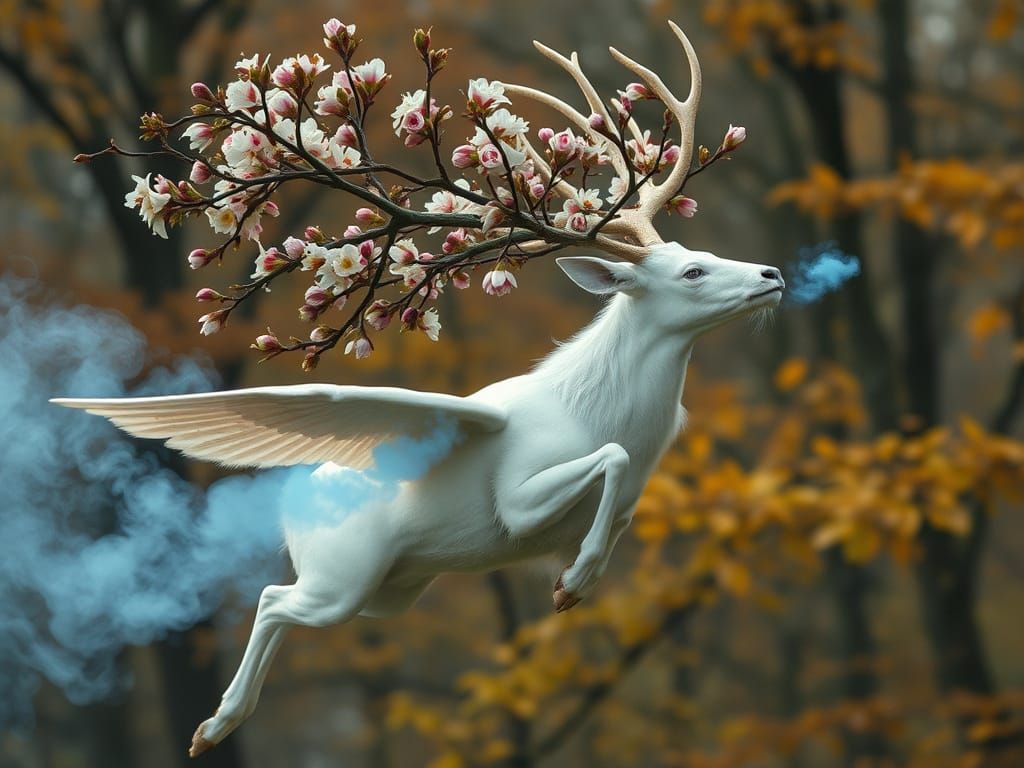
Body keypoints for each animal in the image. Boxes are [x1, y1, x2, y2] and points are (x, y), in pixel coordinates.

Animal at [52, 21, 784, 756]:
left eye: (703, 256)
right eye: (693, 272)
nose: (772, 274)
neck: (600, 409)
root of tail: (289, 508)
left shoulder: (627, 504)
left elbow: (615, 493)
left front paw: (573, 581)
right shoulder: (519, 498)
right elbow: (608, 461)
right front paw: (573, 583)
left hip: (391, 590)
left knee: (281, 602)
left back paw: (214, 727)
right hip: (343, 575)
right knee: (272, 599)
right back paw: (212, 727)